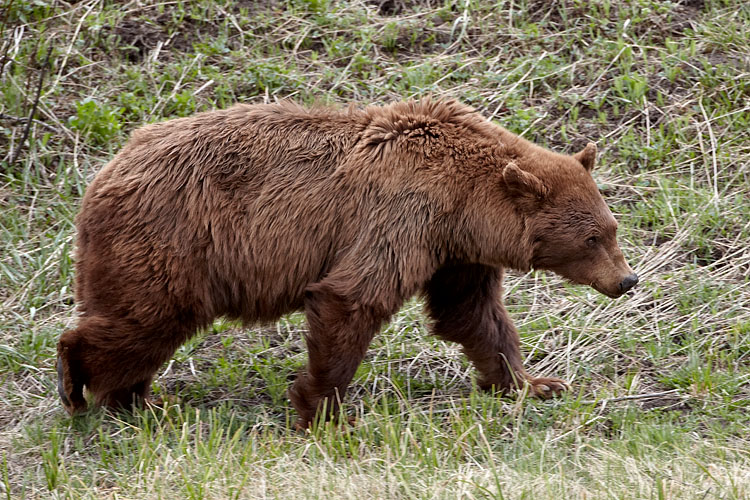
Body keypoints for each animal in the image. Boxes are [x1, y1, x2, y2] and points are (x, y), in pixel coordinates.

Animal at [57, 98, 638, 428]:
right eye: (592, 238)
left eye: (612, 229)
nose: (627, 280)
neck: (464, 205)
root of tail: (103, 172)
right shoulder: (400, 216)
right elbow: (352, 298)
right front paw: (324, 411)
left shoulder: (453, 253)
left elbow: (474, 315)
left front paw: (534, 383)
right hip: (174, 240)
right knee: (143, 319)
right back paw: (82, 386)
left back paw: (140, 403)